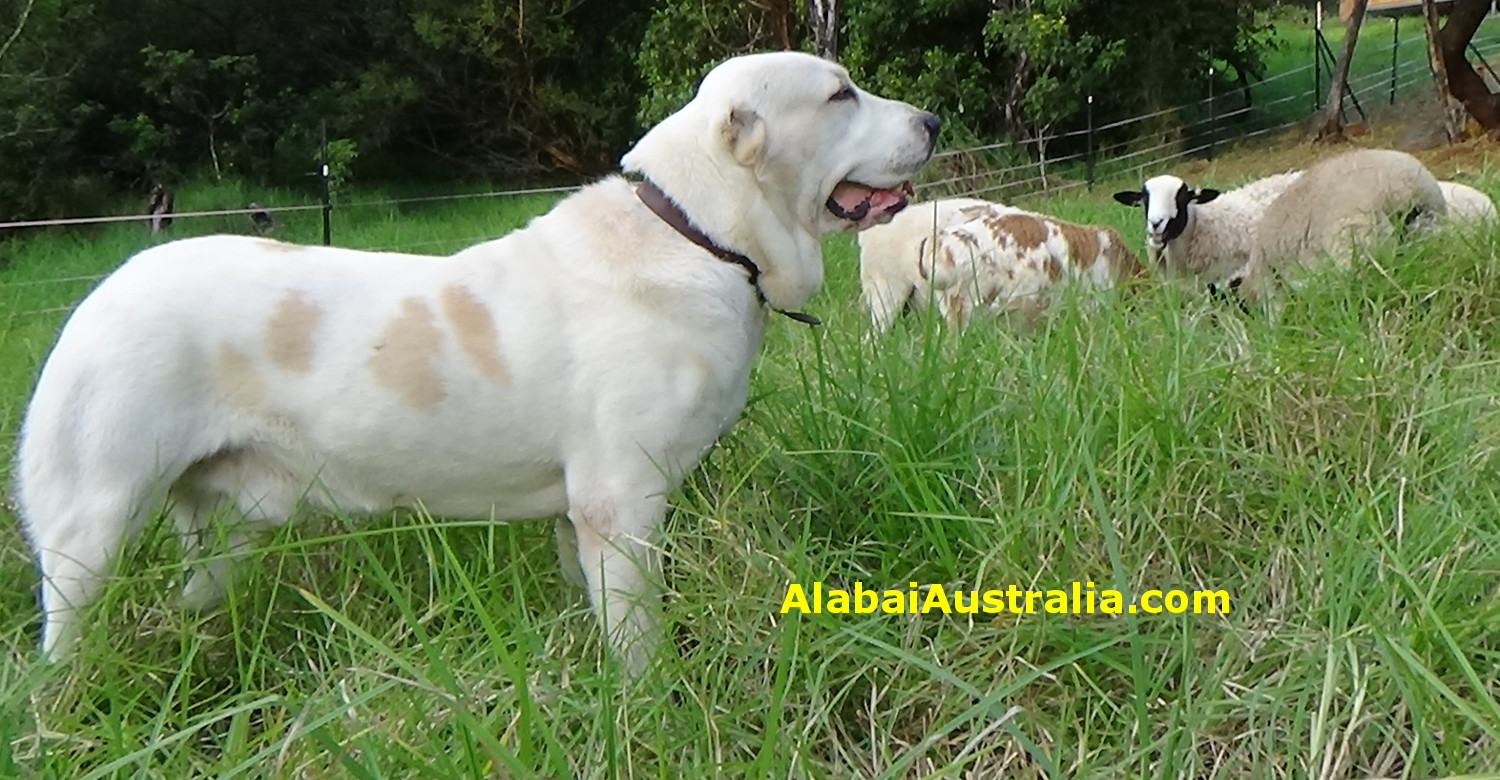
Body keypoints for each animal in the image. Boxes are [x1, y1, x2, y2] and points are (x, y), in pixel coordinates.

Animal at [14, 53, 936, 675]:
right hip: (90, 526)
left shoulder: (577, 514)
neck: (700, 234)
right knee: (66, 625)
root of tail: (103, 292)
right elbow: (637, 641)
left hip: (223, 532)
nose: (930, 123)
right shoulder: (622, 504)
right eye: (840, 94)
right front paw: (651, 702)